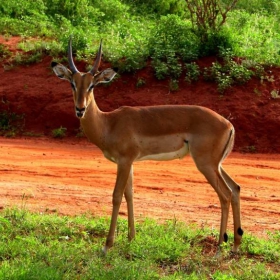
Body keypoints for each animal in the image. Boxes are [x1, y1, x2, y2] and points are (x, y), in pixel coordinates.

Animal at [51, 38, 244, 255]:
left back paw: (220, 247)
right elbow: (130, 195)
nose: (80, 109)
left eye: (92, 85)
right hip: (216, 164)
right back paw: (236, 244)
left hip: (206, 164)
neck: (108, 124)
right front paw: (131, 238)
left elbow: (117, 196)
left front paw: (107, 245)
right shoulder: (129, 163)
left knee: (225, 194)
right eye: (72, 83)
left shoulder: (124, 162)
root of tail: (228, 125)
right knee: (235, 188)